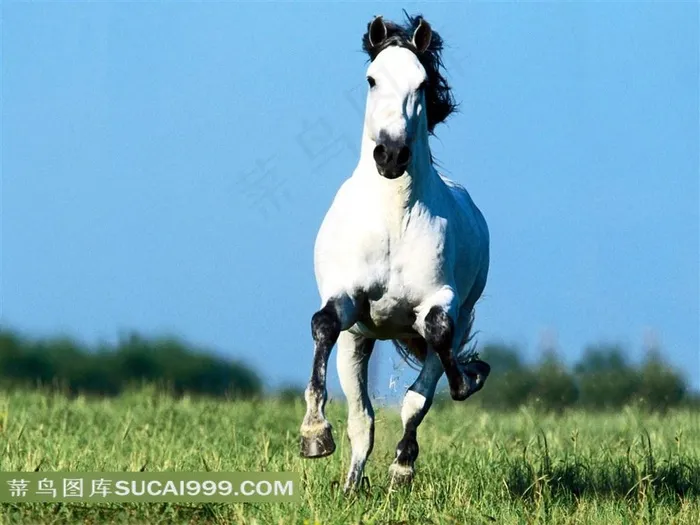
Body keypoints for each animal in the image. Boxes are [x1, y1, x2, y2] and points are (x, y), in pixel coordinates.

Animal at [299, 13, 492, 491]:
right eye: (372, 79)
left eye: (421, 83)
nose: (390, 154)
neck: (393, 217)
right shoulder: (346, 299)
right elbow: (322, 324)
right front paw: (314, 434)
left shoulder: (441, 302)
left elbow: (437, 345)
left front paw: (469, 380)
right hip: (359, 341)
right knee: (361, 418)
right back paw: (351, 485)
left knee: (418, 393)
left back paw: (401, 469)